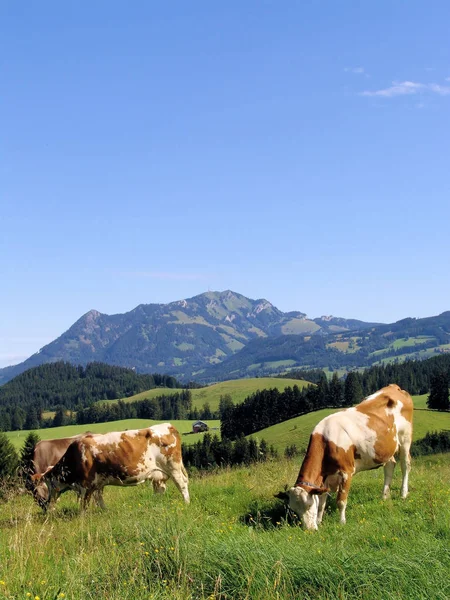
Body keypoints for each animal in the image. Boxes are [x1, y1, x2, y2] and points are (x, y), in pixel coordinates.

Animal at [31, 422, 190, 510]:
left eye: (47, 484)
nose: (46, 505)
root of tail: (168, 426)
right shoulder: (97, 484)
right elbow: (99, 499)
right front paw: (104, 511)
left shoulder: (86, 484)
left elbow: (84, 504)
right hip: (159, 473)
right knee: (161, 488)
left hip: (173, 466)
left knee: (182, 484)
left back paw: (186, 503)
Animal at [274, 384, 412, 528]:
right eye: (294, 510)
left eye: (308, 505)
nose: (309, 529)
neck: (326, 440)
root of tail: (393, 387)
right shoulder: (325, 479)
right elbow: (321, 503)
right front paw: (319, 521)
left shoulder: (346, 472)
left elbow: (341, 500)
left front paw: (342, 522)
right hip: (386, 448)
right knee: (390, 465)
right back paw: (384, 496)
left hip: (405, 439)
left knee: (405, 465)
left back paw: (403, 493)